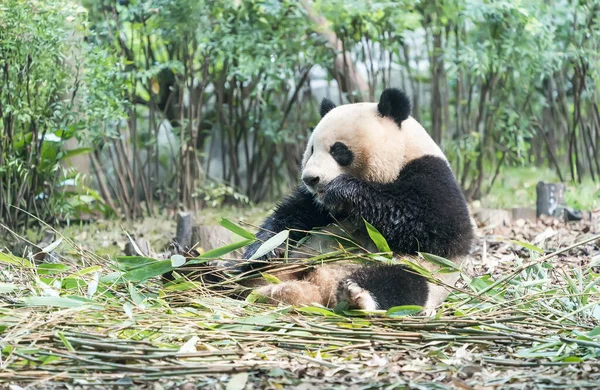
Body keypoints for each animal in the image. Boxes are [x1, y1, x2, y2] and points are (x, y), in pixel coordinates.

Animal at [239, 87, 474, 310]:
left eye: (338, 149)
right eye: (312, 149)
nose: (310, 179)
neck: (402, 156)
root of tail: (319, 285)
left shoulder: (433, 175)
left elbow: (432, 225)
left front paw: (342, 189)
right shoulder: (315, 204)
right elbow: (290, 216)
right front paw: (265, 249)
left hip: (417, 269)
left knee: (401, 282)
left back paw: (356, 295)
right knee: (241, 271)